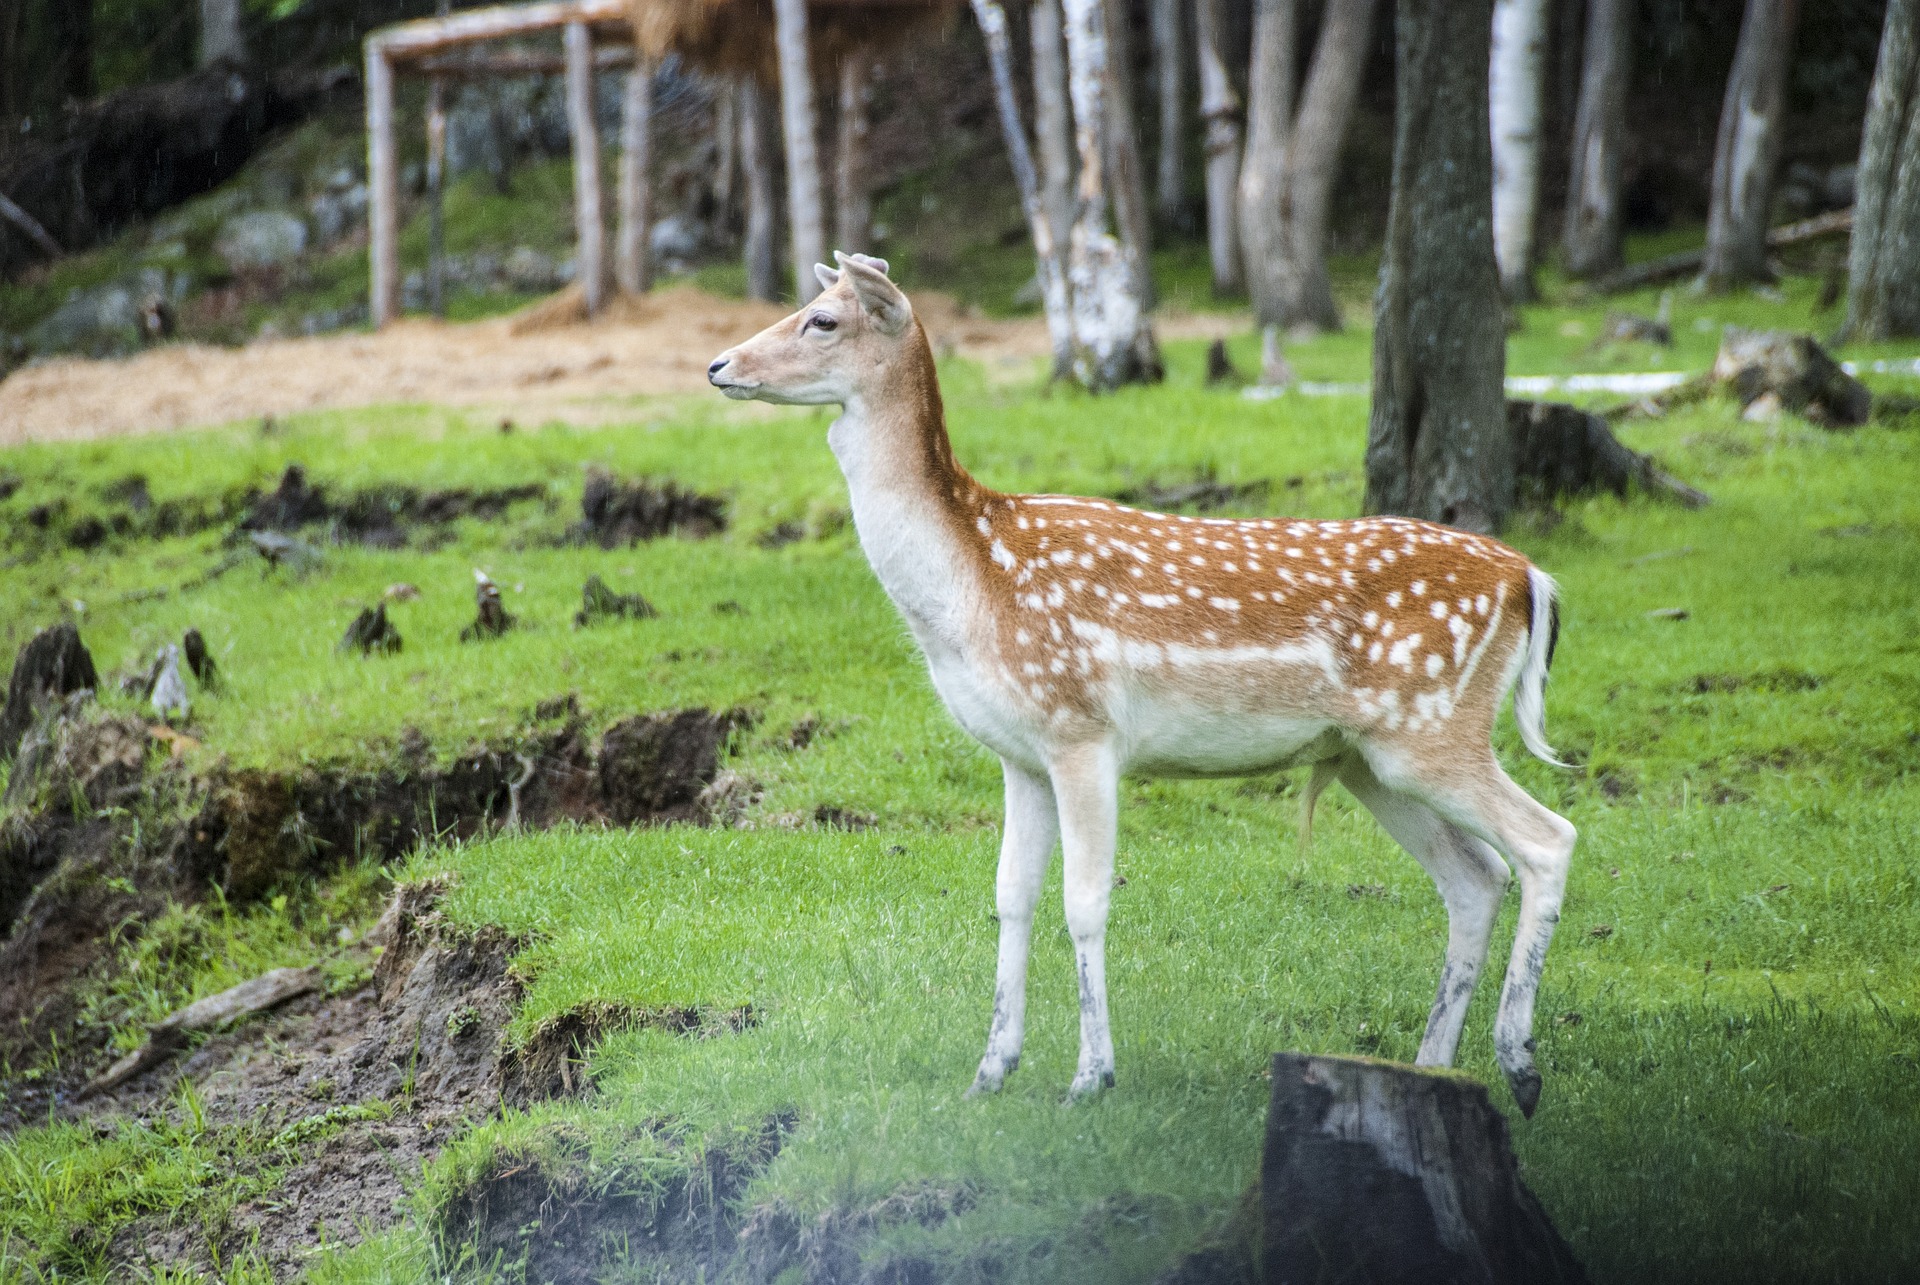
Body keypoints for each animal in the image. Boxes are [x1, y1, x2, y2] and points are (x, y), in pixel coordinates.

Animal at [706, 253, 1574, 1114]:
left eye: (822, 319)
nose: (719, 365)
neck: (973, 586)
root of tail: (1530, 578)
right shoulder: (1019, 753)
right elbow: (1011, 895)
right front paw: (991, 1068)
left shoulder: (1081, 728)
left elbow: (1085, 900)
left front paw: (1091, 1075)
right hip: (1370, 757)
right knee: (1476, 876)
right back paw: (1436, 1068)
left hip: (1432, 725)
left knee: (1547, 839)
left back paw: (1521, 1062)